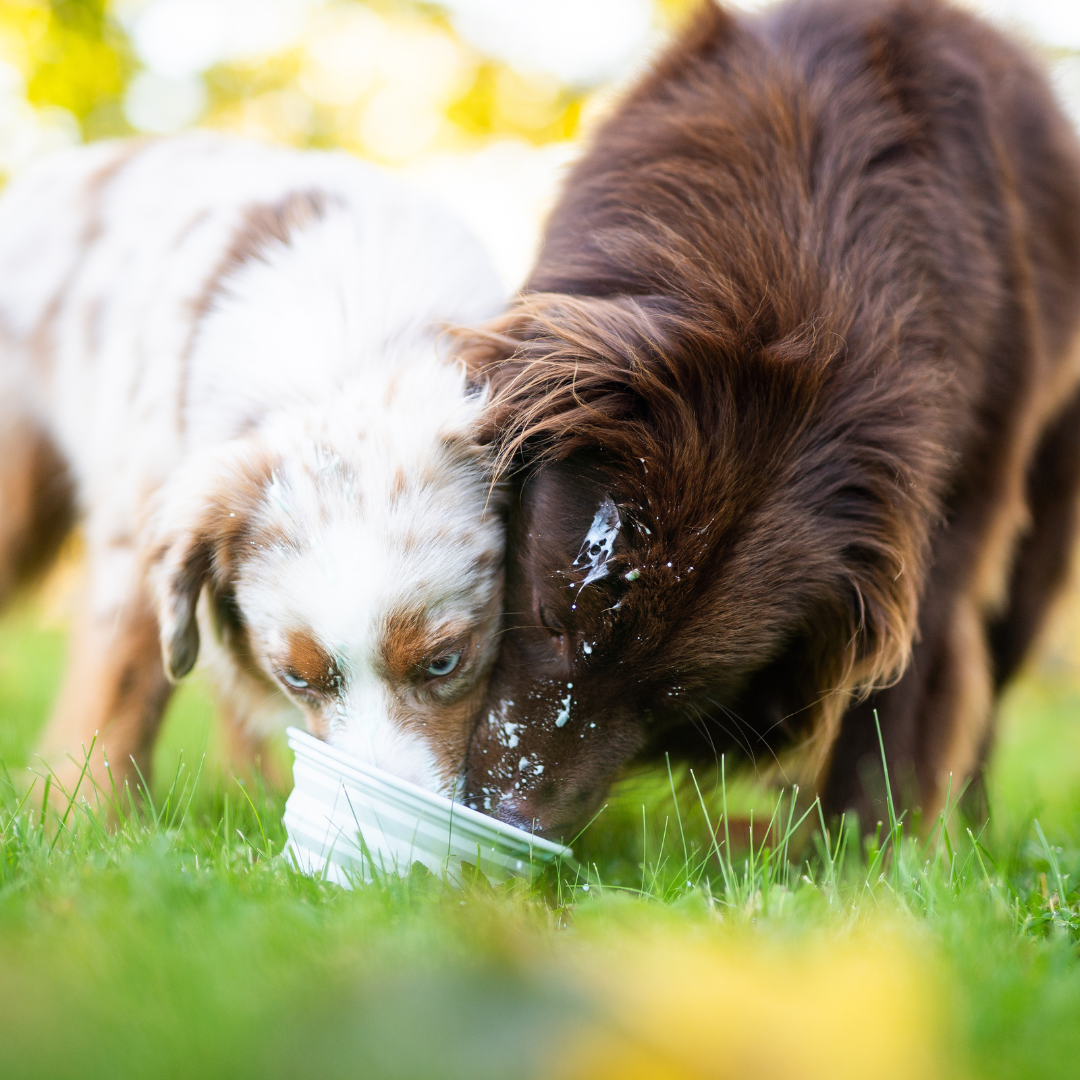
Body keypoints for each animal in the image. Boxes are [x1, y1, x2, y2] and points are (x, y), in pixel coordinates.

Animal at [0, 132, 505, 794]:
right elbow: (120, 691)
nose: (363, 823)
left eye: (444, 662)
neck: (341, 363)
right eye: (297, 678)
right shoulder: (135, 531)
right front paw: (88, 812)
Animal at [460, 0, 1080, 833]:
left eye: (668, 695)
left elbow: (901, 700)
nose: (514, 824)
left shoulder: (951, 514)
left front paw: (857, 851)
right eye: (551, 619)